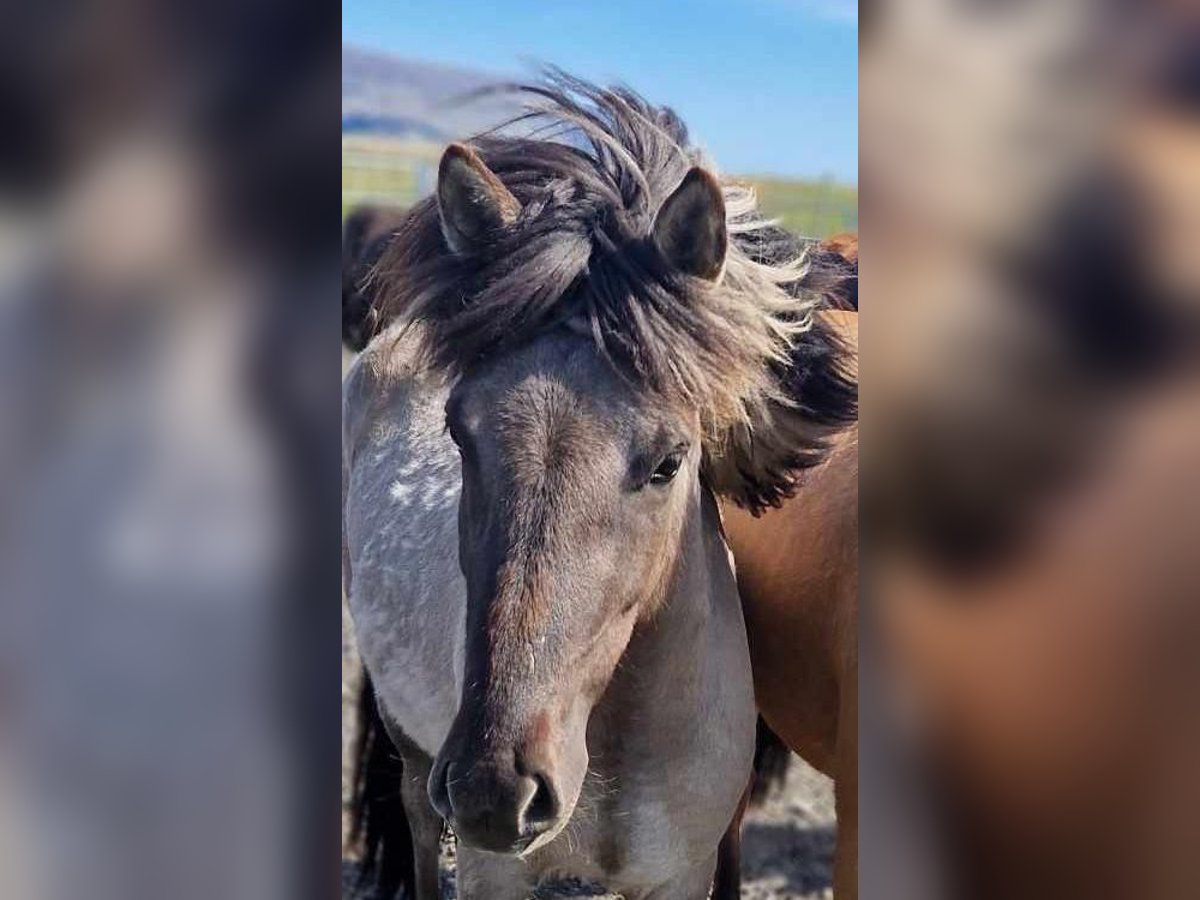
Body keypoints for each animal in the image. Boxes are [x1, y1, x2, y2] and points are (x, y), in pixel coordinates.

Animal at [343, 77, 859, 900]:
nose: (496, 791)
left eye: (669, 463)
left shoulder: (680, 873)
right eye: (460, 432)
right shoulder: (495, 874)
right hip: (414, 761)